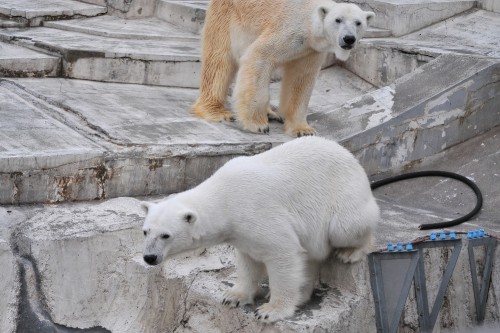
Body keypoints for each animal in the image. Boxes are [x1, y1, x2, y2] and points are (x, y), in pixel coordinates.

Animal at [141, 136, 378, 322]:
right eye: (145, 231)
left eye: (165, 235)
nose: (149, 257)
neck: (224, 197)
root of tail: (353, 160)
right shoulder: (240, 232)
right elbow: (249, 260)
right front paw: (234, 297)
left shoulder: (257, 212)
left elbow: (283, 253)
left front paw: (270, 310)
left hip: (343, 196)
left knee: (347, 226)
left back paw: (350, 252)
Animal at [192, 0, 376, 136]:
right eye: (338, 20)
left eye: (358, 23)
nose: (349, 38)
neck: (309, 24)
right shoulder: (290, 31)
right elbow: (259, 56)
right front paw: (257, 125)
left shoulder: (311, 50)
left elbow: (301, 80)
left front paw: (304, 130)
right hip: (227, 16)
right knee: (219, 60)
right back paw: (217, 111)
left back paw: (271, 113)